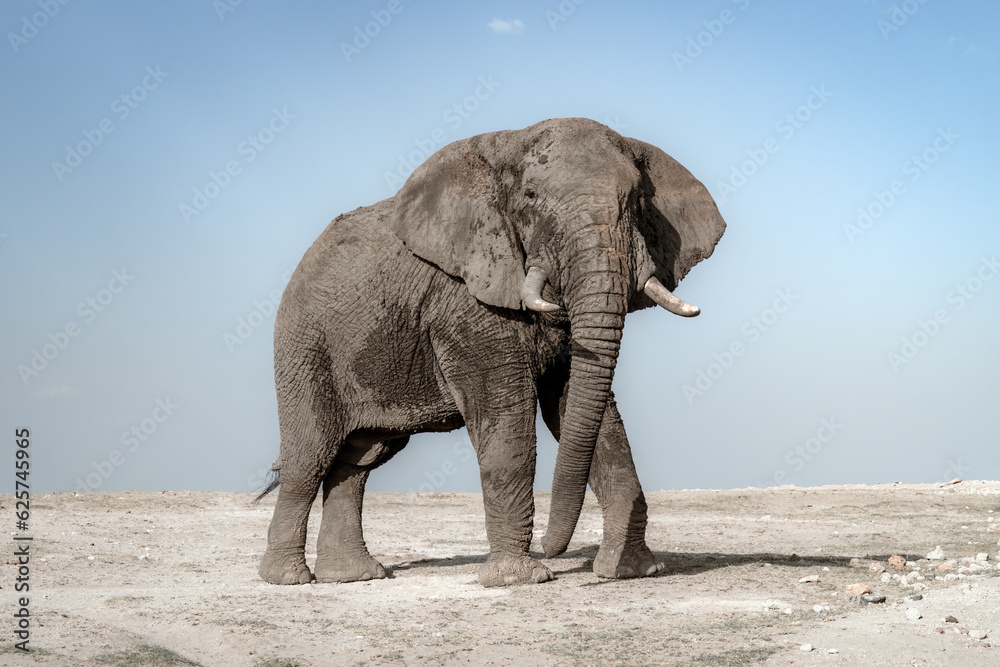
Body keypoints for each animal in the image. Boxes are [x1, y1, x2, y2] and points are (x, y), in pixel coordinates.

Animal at [257, 117, 726, 587]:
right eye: (530, 198)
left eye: (637, 200)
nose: (552, 548)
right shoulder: (465, 300)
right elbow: (507, 419)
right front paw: (520, 578)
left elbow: (585, 413)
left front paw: (632, 571)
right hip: (304, 345)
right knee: (309, 456)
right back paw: (289, 578)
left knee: (359, 460)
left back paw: (355, 576)